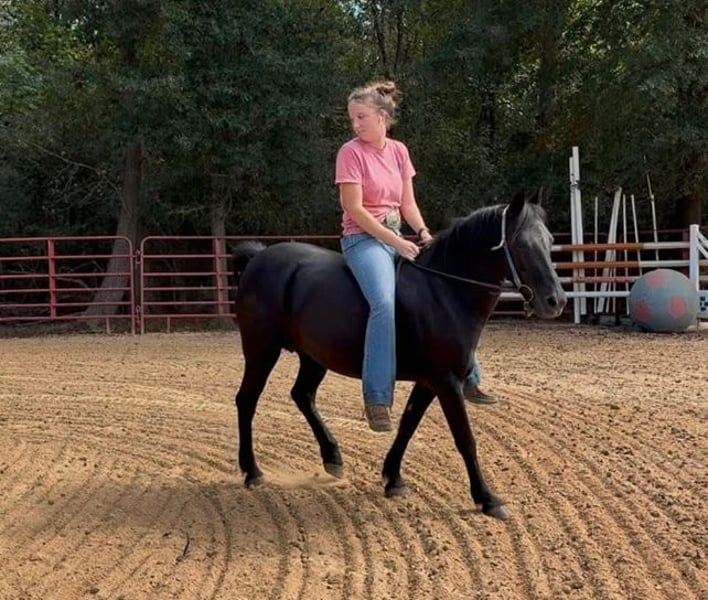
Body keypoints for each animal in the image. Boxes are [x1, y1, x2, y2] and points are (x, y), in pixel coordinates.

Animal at [232, 189, 567, 520]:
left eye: (549, 240)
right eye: (521, 244)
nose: (556, 301)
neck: (443, 290)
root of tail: (259, 258)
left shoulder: (430, 381)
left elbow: (408, 424)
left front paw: (393, 478)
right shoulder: (447, 381)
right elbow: (465, 438)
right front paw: (487, 498)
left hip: (313, 357)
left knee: (302, 395)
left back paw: (333, 457)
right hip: (262, 350)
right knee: (247, 401)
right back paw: (252, 472)